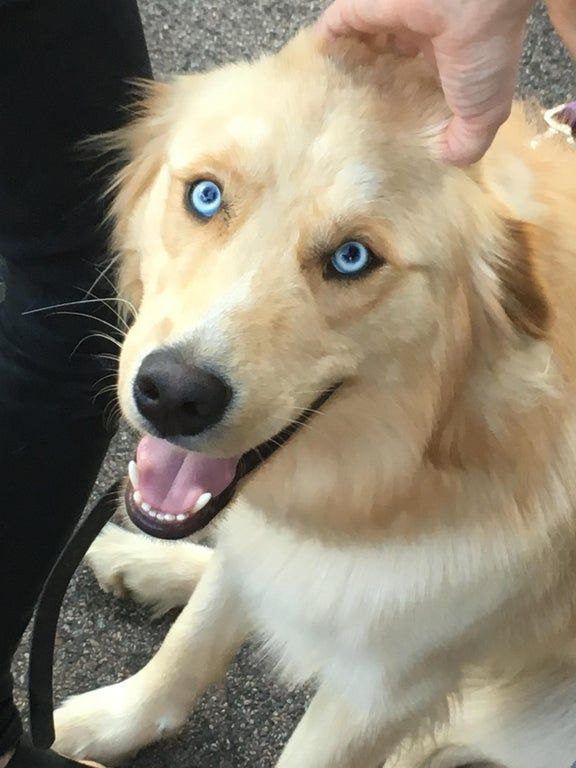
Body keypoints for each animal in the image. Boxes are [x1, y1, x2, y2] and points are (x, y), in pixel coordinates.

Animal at [51, 27, 576, 764]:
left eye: (352, 258)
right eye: (205, 196)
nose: (173, 396)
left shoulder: (389, 686)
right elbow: (194, 639)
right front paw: (115, 719)